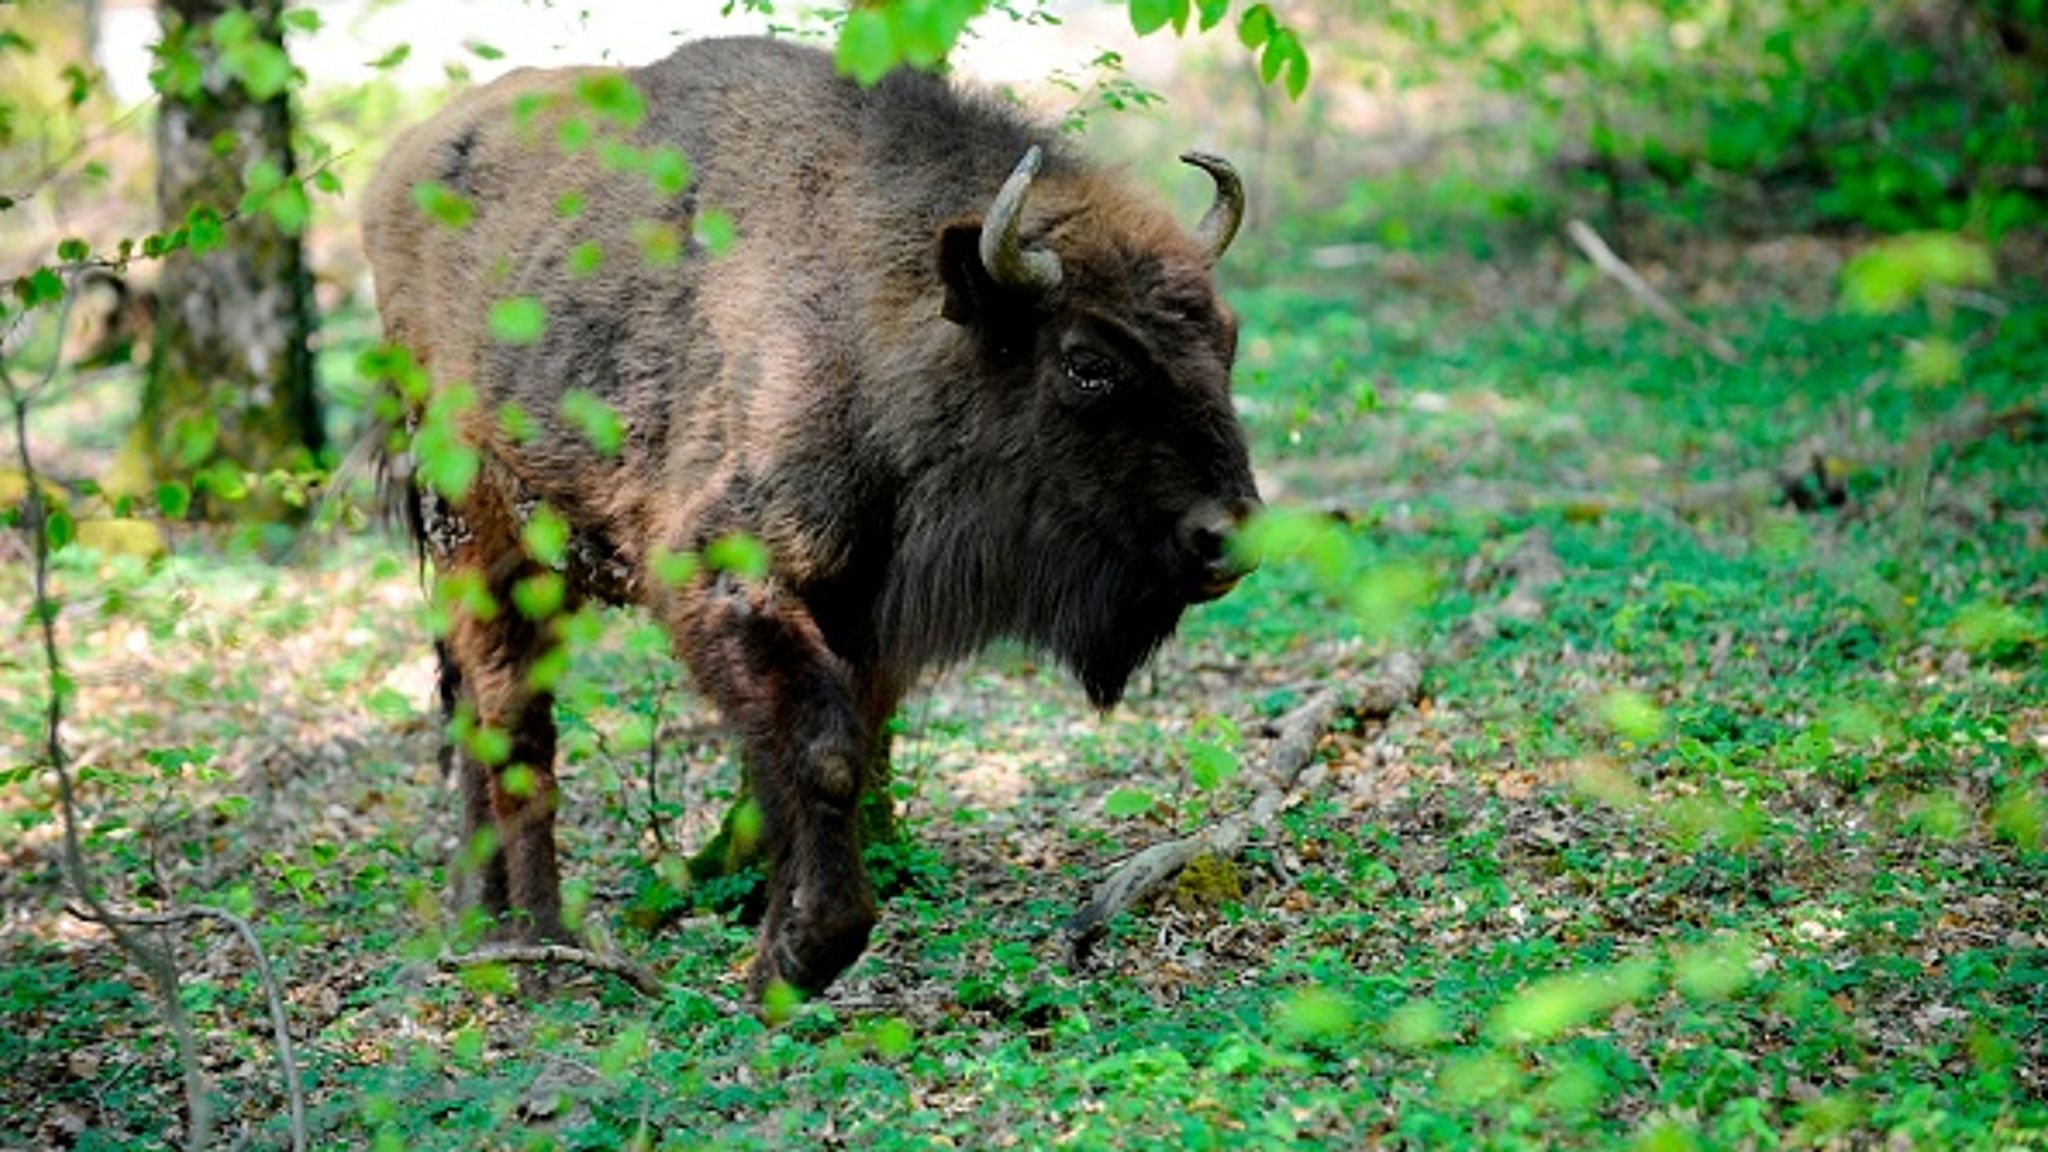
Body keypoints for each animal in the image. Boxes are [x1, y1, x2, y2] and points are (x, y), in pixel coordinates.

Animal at [368, 35, 1261, 996]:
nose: (1228, 538)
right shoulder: (723, 580)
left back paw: (477, 919)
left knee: (472, 707)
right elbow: (821, 755)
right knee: (514, 723)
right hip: (480, 529)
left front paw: (776, 949)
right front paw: (805, 952)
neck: (872, 321)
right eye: (1089, 362)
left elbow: (810, 763)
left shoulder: (862, 615)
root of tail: (400, 167)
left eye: (1227, 337)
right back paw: (542, 944)